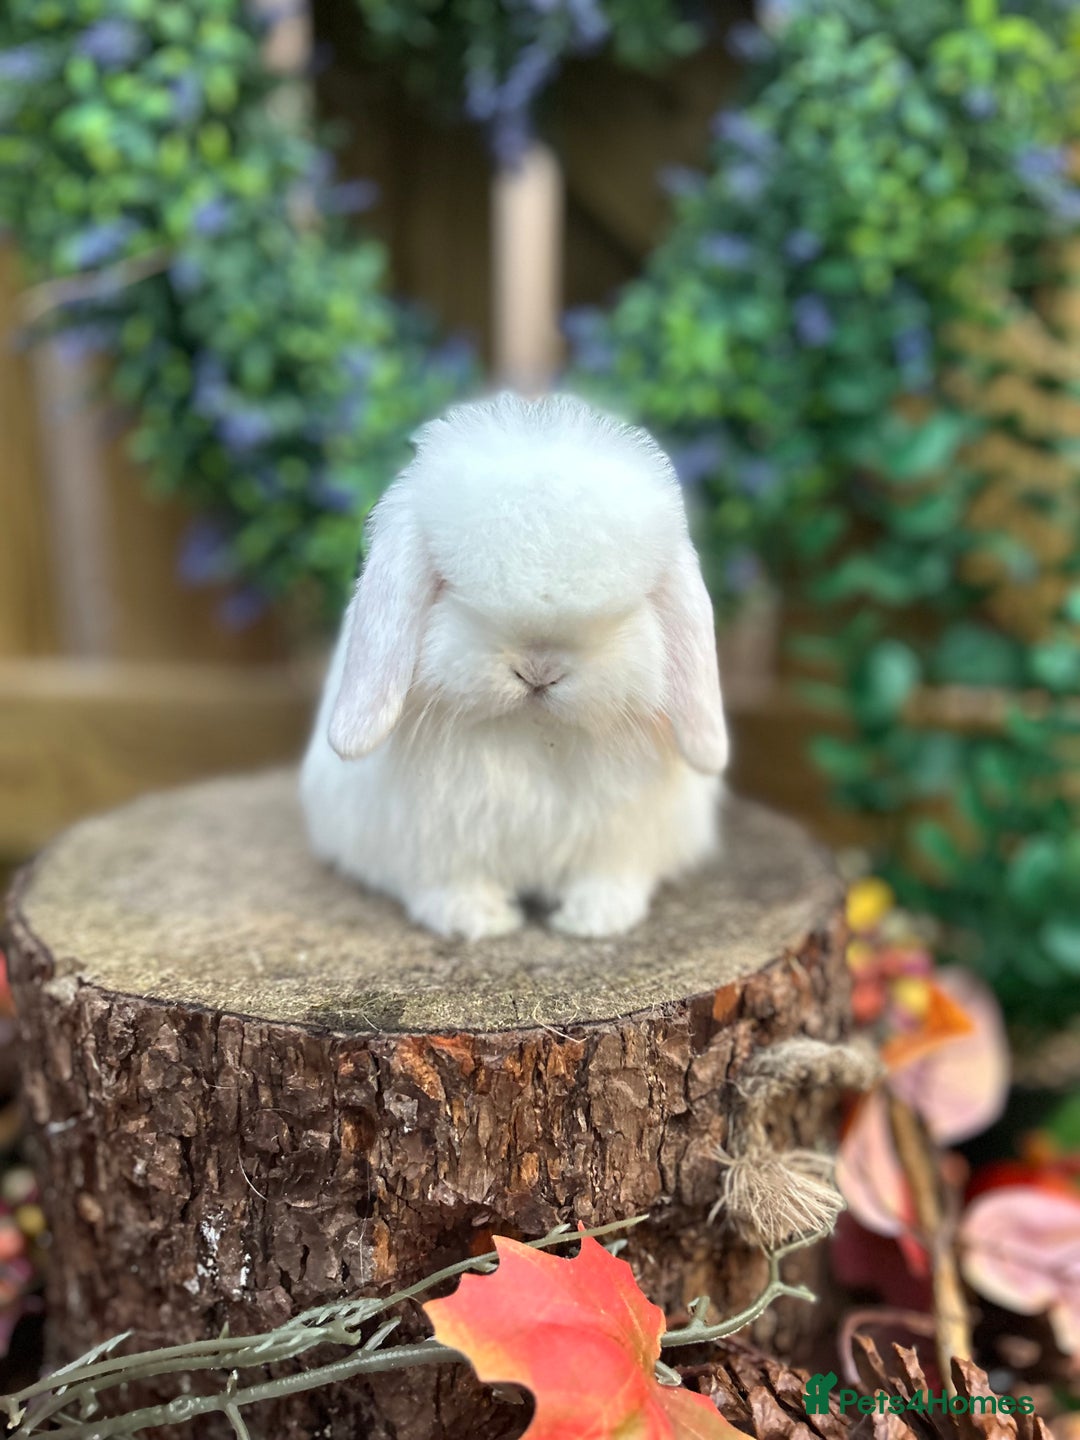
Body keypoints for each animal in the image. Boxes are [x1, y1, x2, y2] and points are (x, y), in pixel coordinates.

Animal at [300, 391, 729, 941]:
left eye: (631, 603)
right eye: (447, 584)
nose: (539, 669)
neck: (533, 735)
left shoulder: (621, 836)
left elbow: (609, 875)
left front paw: (596, 920)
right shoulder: (434, 838)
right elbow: (449, 879)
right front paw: (476, 919)